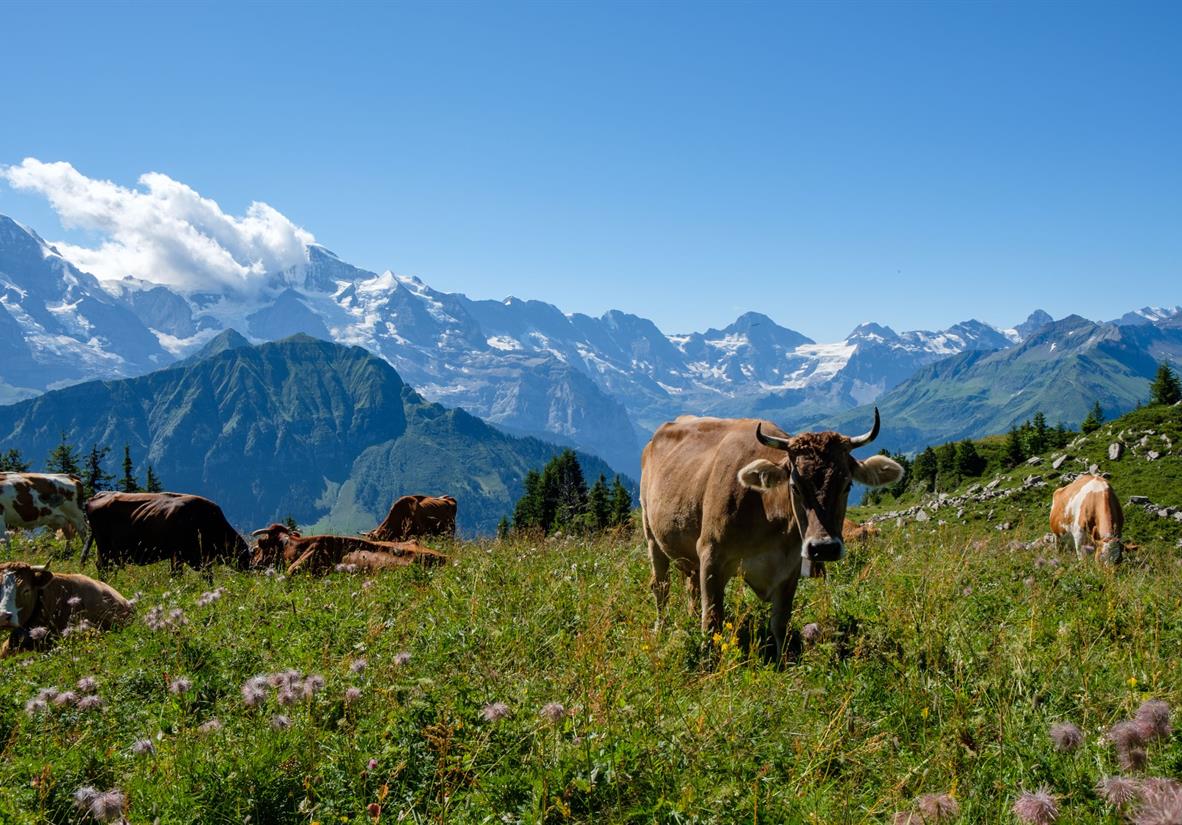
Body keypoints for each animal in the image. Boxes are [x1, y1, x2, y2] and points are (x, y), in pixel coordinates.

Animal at [81, 492, 250, 580]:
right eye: (244, 556)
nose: (248, 573)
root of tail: (95, 497)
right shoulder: (178, 554)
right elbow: (177, 574)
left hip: (106, 550)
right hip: (104, 548)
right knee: (103, 567)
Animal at [640, 408, 904, 661]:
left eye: (847, 485)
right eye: (795, 487)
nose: (824, 548)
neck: (767, 512)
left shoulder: (790, 568)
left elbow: (780, 624)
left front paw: (784, 663)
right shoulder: (711, 555)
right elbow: (712, 620)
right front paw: (708, 661)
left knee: (691, 588)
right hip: (651, 533)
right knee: (660, 587)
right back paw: (660, 628)